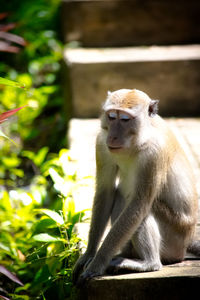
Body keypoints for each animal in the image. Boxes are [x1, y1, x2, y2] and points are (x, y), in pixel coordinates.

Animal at [72, 88, 199, 284]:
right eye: (111, 116)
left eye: (125, 119)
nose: (113, 136)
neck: (138, 139)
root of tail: (186, 243)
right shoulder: (101, 143)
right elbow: (105, 192)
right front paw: (89, 255)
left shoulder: (154, 154)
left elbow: (139, 204)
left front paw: (97, 264)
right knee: (121, 196)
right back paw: (126, 254)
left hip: (174, 242)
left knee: (143, 209)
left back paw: (149, 263)